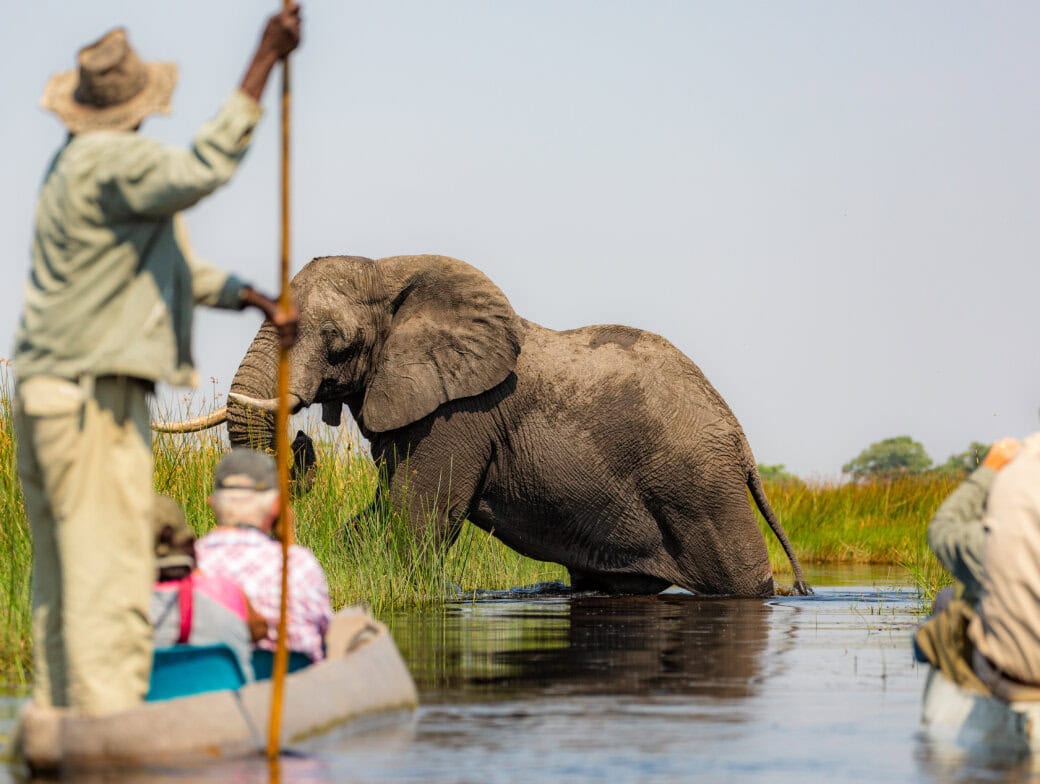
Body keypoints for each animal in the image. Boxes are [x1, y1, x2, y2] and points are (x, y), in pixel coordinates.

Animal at [157, 254, 809, 597]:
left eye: (337, 342)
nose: (302, 439)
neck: (391, 270)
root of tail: (740, 441)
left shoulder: (457, 416)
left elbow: (416, 520)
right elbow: (379, 513)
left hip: (701, 488)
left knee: (742, 582)